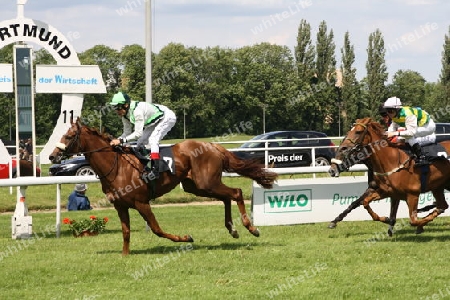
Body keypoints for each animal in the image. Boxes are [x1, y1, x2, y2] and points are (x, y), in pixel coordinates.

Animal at [47, 118, 276, 254]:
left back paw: (251, 228)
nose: (52, 156)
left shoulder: (141, 202)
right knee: (227, 196)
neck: (117, 166)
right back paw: (232, 229)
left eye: (69, 136)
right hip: (198, 186)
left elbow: (156, 229)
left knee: (236, 192)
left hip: (207, 182)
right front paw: (124, 255)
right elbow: (126, 232)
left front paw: (185, 237)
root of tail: (211, 145)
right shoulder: (120, 206)